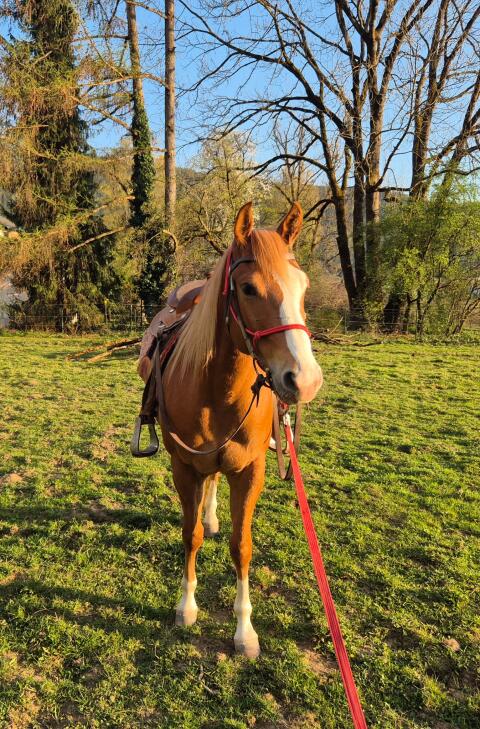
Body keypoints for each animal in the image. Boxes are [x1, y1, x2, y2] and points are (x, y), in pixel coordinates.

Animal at [139, 201, 323, 658]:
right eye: (248, 289)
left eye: (303, 286)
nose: (305, 380)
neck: (216, 389)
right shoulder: (184, 467)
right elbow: (191, 536)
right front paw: (186, 607)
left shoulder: (250, 470)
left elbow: (241, 546)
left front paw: (245, 631)